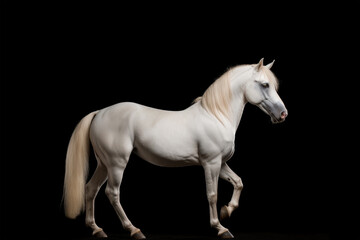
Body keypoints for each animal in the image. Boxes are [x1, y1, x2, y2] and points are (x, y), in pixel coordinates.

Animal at [62, 58, 286, 238]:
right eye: (265, 84)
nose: (283, 114)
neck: (216, 116)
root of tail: (99, 112)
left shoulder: (220, 163)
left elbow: (238, 182)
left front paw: (227, 211)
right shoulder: (211, 164)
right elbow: (212, 194)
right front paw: (220, 228)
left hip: (104, 164)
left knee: (91, 189)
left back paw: (97, 229)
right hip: (116, 164)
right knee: (112, 193)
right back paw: (134, 230)